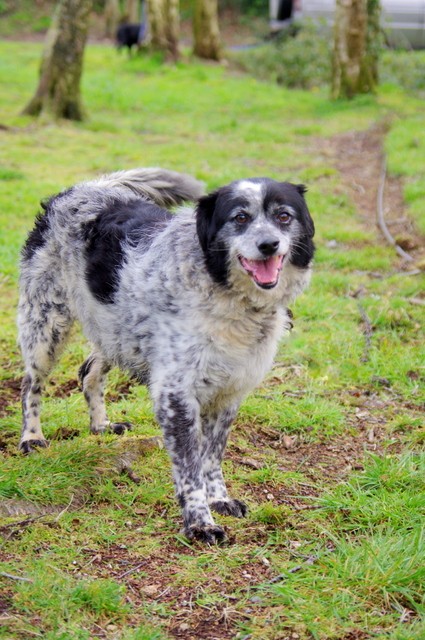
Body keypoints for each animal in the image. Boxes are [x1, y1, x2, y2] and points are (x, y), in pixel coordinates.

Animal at [18, 168, 314, 544]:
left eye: (284, 216)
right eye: (240, 217)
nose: (269, 245)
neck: (227, 296)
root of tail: (83, 188)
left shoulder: (230, 392)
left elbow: (211, 457)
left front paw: (220, 500)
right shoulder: (176, 394)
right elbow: (190, 467)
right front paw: (200, 522)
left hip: (116, 331)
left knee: (89, 371)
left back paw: (100, 425)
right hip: (46, 327)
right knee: (31, 385)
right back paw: (31, 438)